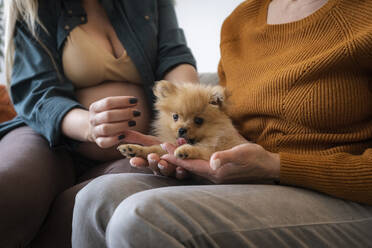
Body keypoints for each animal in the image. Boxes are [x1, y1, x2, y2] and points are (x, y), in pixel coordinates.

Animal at [117, 80, 247, 170]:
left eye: (198, 120)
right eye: (175, 116)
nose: (181, 130)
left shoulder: (213, 150)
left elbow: (201, 150)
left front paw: (185, 150)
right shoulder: (165, 148)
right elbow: (153, 149)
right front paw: (132, 148)